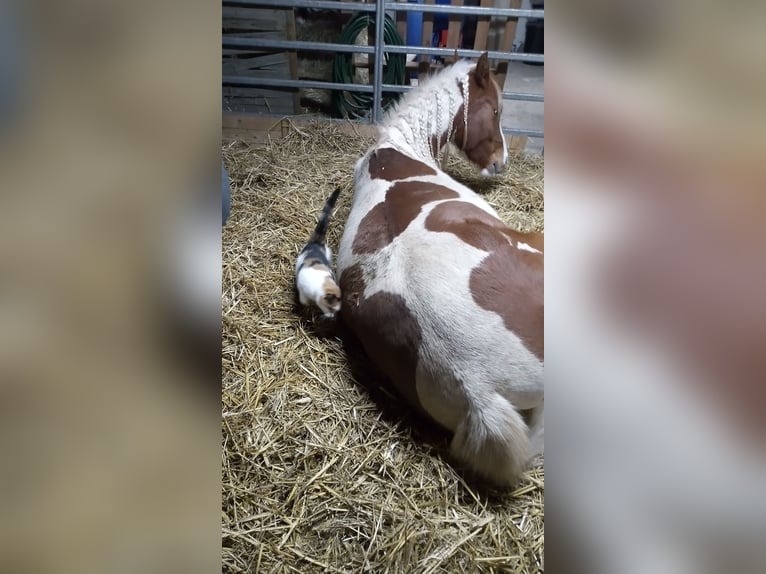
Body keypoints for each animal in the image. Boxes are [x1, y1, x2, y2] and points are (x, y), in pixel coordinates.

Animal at [294, 189, 342, 320]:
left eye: (336, 311)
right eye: (331, 309)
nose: (332, 316)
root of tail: (317, 242)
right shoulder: (302, 288)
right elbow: (304, 301)